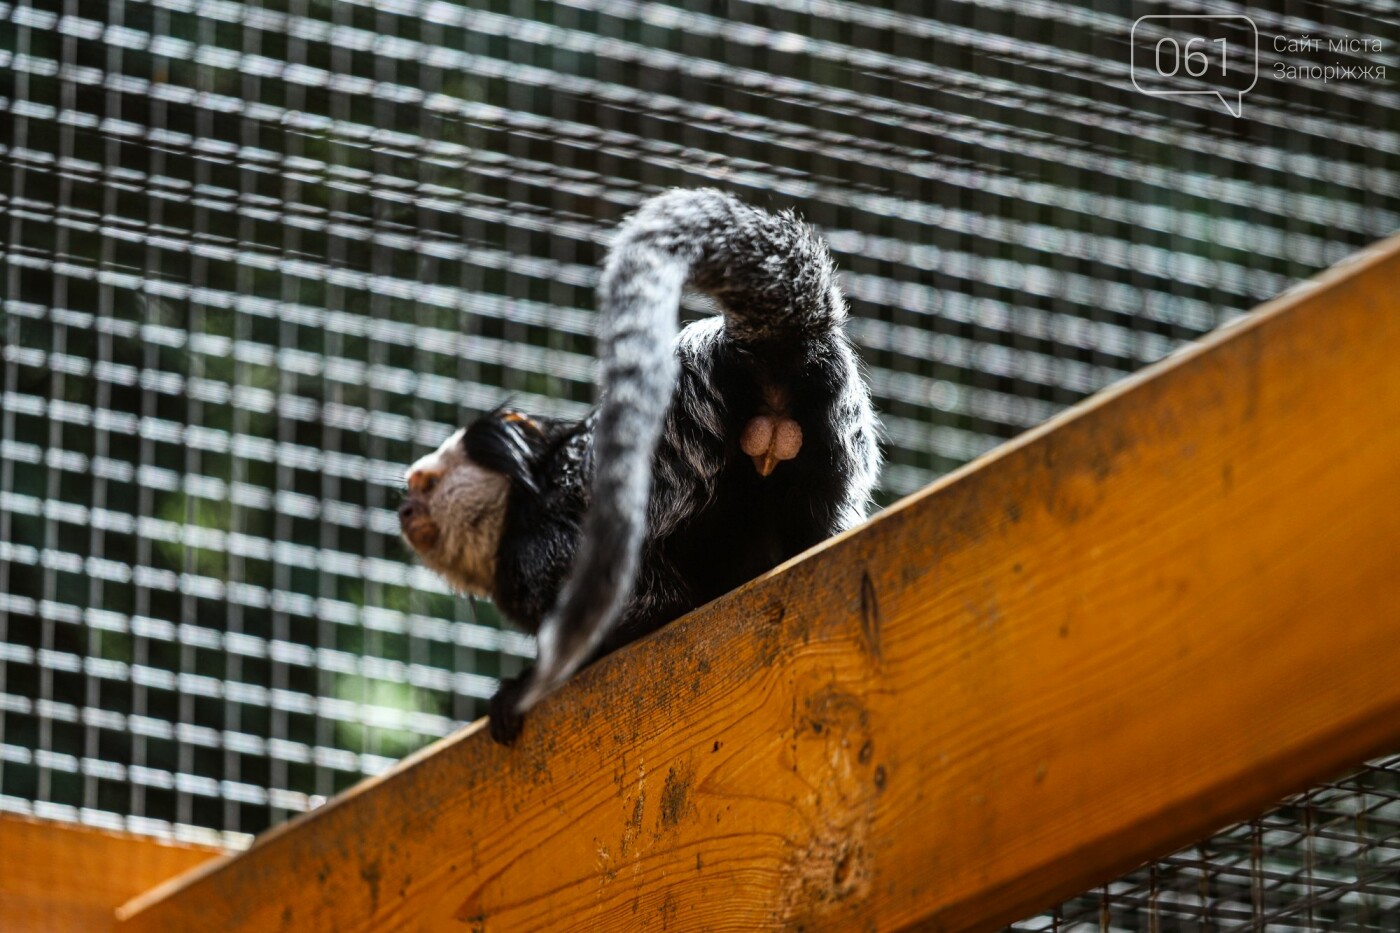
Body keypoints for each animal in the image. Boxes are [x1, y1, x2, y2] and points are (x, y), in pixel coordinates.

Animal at [397, 187, 873, 739]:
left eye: (425, 484)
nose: (405, 511)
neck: (520, 504)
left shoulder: (543, 548)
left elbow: (650, 608)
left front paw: (521, 687)